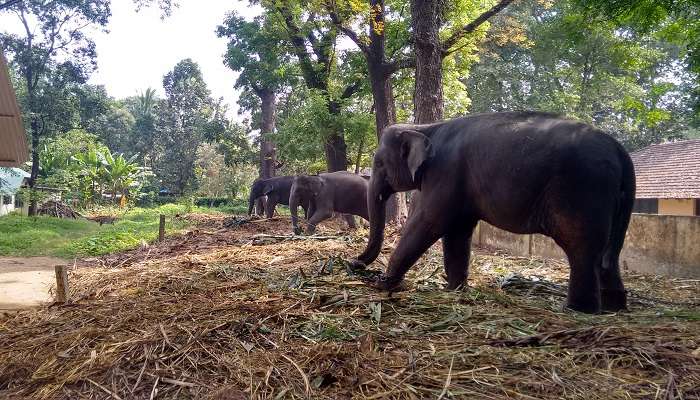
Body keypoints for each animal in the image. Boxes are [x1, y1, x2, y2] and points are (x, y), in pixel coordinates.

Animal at [348, 111, 636, 314]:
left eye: (379, 163)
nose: (354, 263)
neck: (426, 127)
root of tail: (621, 151)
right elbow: (457, 231)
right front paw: (455, 290)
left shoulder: (444, 174)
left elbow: (429, 222)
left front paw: (383, 284)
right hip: (614, 202)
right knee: (609, 253)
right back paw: (614, 307)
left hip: (582, 191)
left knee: (581, 250)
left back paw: (577, 310)